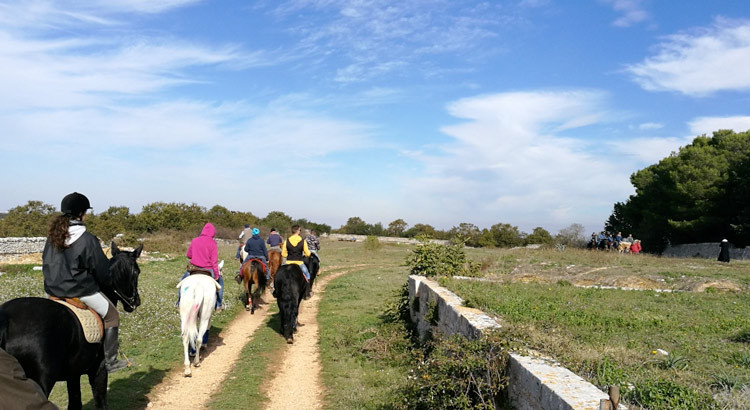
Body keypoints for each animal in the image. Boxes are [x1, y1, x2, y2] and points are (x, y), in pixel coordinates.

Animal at [0, 242, 142, 410]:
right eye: (137, 272)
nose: (135, 302)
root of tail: (5, 318)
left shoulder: (73, 374)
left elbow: (75, 403)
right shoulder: (98, 369)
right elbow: (100, 401)